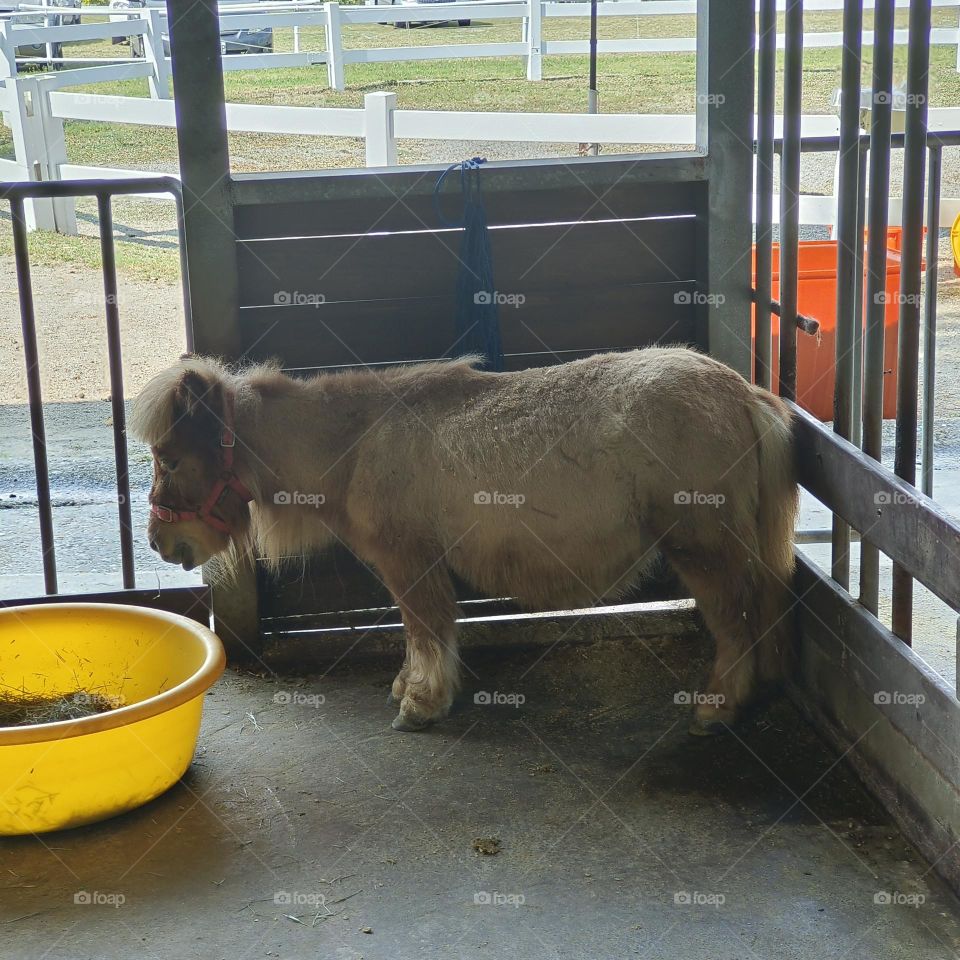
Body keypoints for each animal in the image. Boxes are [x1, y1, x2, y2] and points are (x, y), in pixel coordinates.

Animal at [131, 347, 798, 734]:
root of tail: (745, 394)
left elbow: (428, 628)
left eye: (169, 457)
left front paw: (422, 702)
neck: (356, 443)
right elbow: (415, 630)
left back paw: (718, 705)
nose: (161, 541)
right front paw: (408, 685)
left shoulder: (410, 561)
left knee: (734, 618)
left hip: (702, 548)